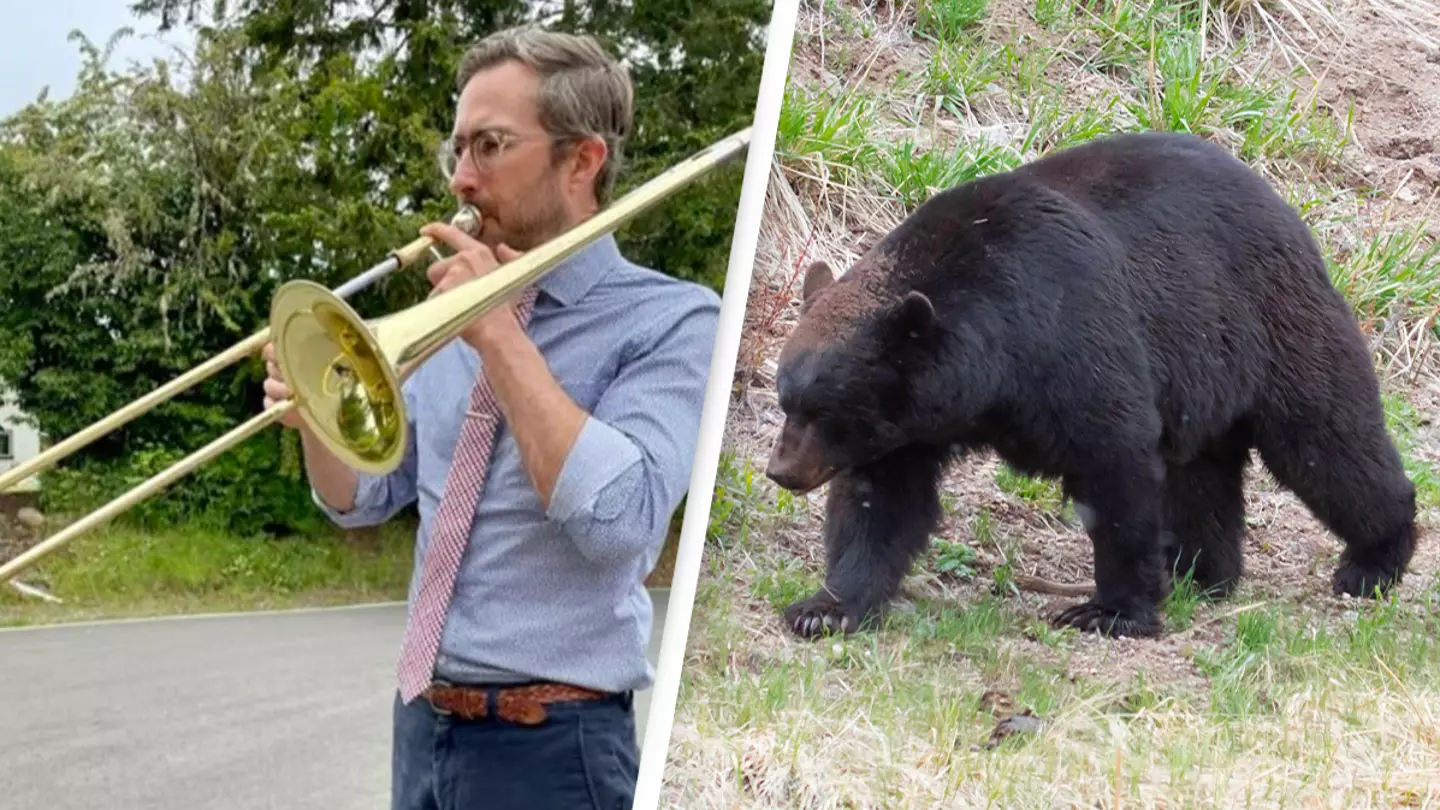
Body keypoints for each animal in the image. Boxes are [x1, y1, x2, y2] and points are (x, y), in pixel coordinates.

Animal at [766, 131, 1416, 637]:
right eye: (787, 400)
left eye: (826, 411)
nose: (781, 471)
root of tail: (1290, 212)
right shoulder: (911, 426)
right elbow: (881, 501)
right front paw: (825, 607)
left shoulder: (1071, 339)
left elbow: (1114, 463)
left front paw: (1110, 611)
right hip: (1206, 381)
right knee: (1203, 478)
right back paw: (1201, 574)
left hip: (1272, 326)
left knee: (1328, 444)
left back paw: (1373, 561)